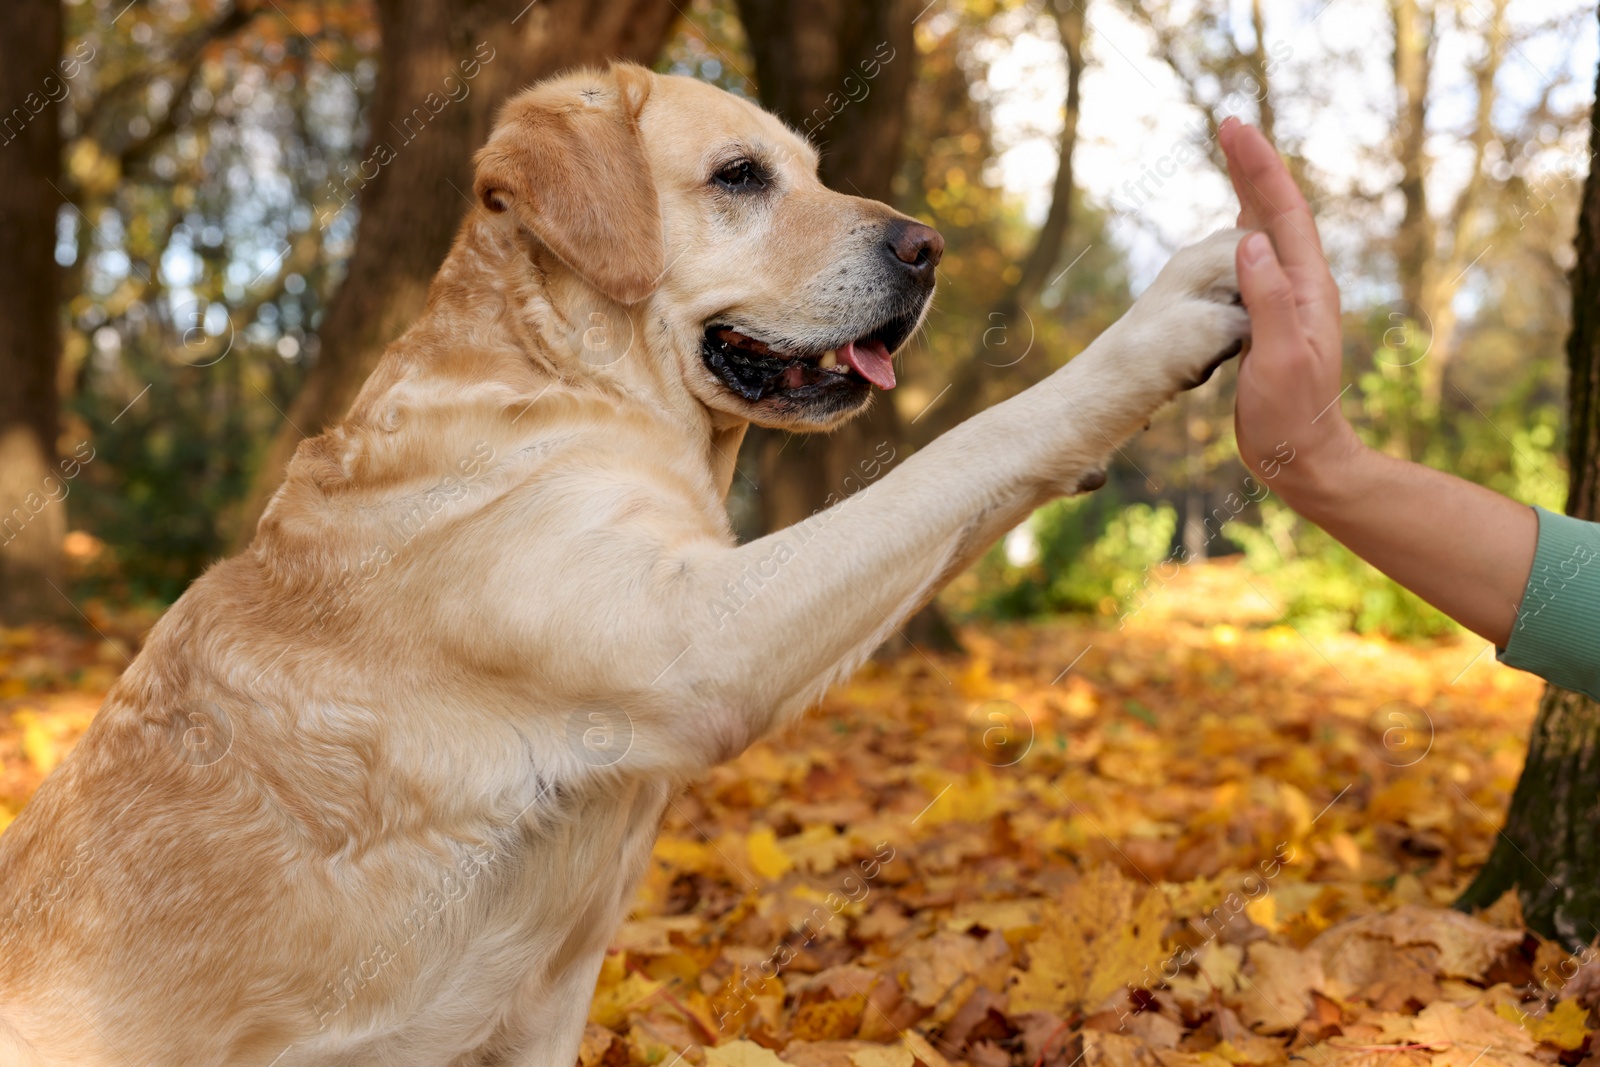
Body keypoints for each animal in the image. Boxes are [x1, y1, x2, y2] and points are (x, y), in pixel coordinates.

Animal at [0, 64, 1248, 1067]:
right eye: (740, 177)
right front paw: (1162, 326)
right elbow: (968, 448)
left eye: (813, 170)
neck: (568, 383)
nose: (927, 247)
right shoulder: (699, 641)